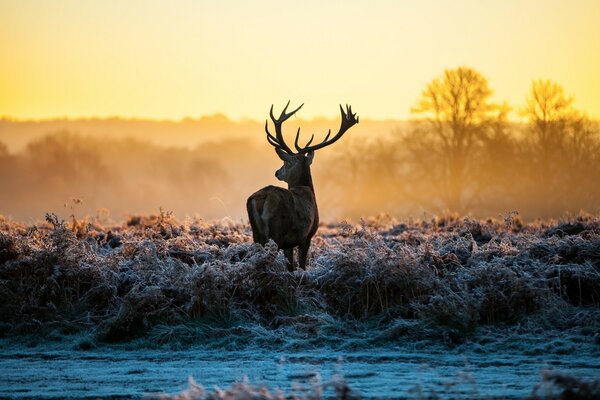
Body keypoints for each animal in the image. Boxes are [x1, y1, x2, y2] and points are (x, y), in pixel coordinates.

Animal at [246, 102, 358, 272]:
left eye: (285, 162)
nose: (277, 172)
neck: (306, 189)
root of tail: (261, 199)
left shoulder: (290, 244)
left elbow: (291, 266)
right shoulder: (307, 236)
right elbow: (302, 265)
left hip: (257, 234)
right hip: (276, 232)